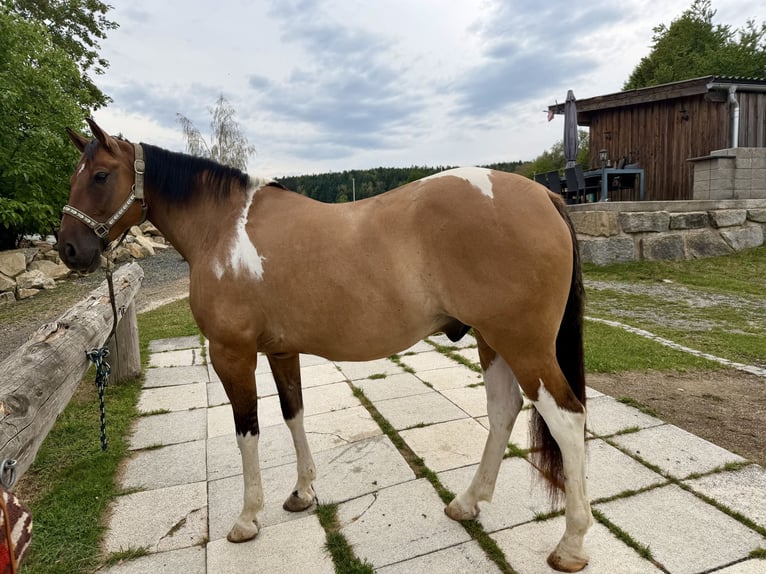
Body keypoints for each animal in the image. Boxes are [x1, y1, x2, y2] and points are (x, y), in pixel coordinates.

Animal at [58, 118, 592, 572]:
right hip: (491, 339)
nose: (69, 249)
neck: (224, 230)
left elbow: (248, 429)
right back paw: (467, 502)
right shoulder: (280, 350)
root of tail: (544, 194)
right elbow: (293, 413)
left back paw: (570, 544)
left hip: (523, 345)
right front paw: (302, 494)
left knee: (567, 420)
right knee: (504, 410)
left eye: (101, 175)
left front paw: (247, 519)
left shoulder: (232, 353)